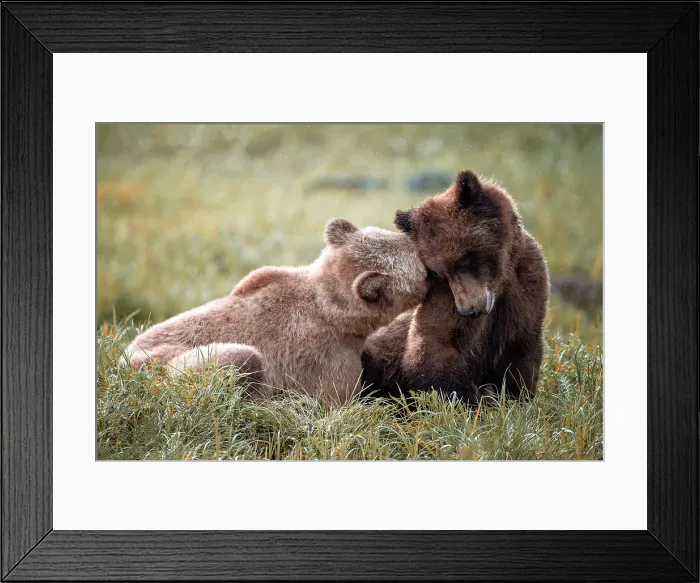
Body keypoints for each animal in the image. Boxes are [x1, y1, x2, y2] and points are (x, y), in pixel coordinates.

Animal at [126, 218, 428, 406]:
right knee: (240, 357)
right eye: (423, 267)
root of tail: (122, 362)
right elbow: (337, 399)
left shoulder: (264, 275)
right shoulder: (330, 358)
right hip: (161, 364)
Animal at [360, 170, 550, 405]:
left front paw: (516, 396)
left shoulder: (527, 284)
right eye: (439, 273)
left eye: (462, 263)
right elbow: (436, 342)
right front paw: (468, 401)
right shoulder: (444, 296)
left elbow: (522, 350)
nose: (467, 310)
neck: (500, 281)